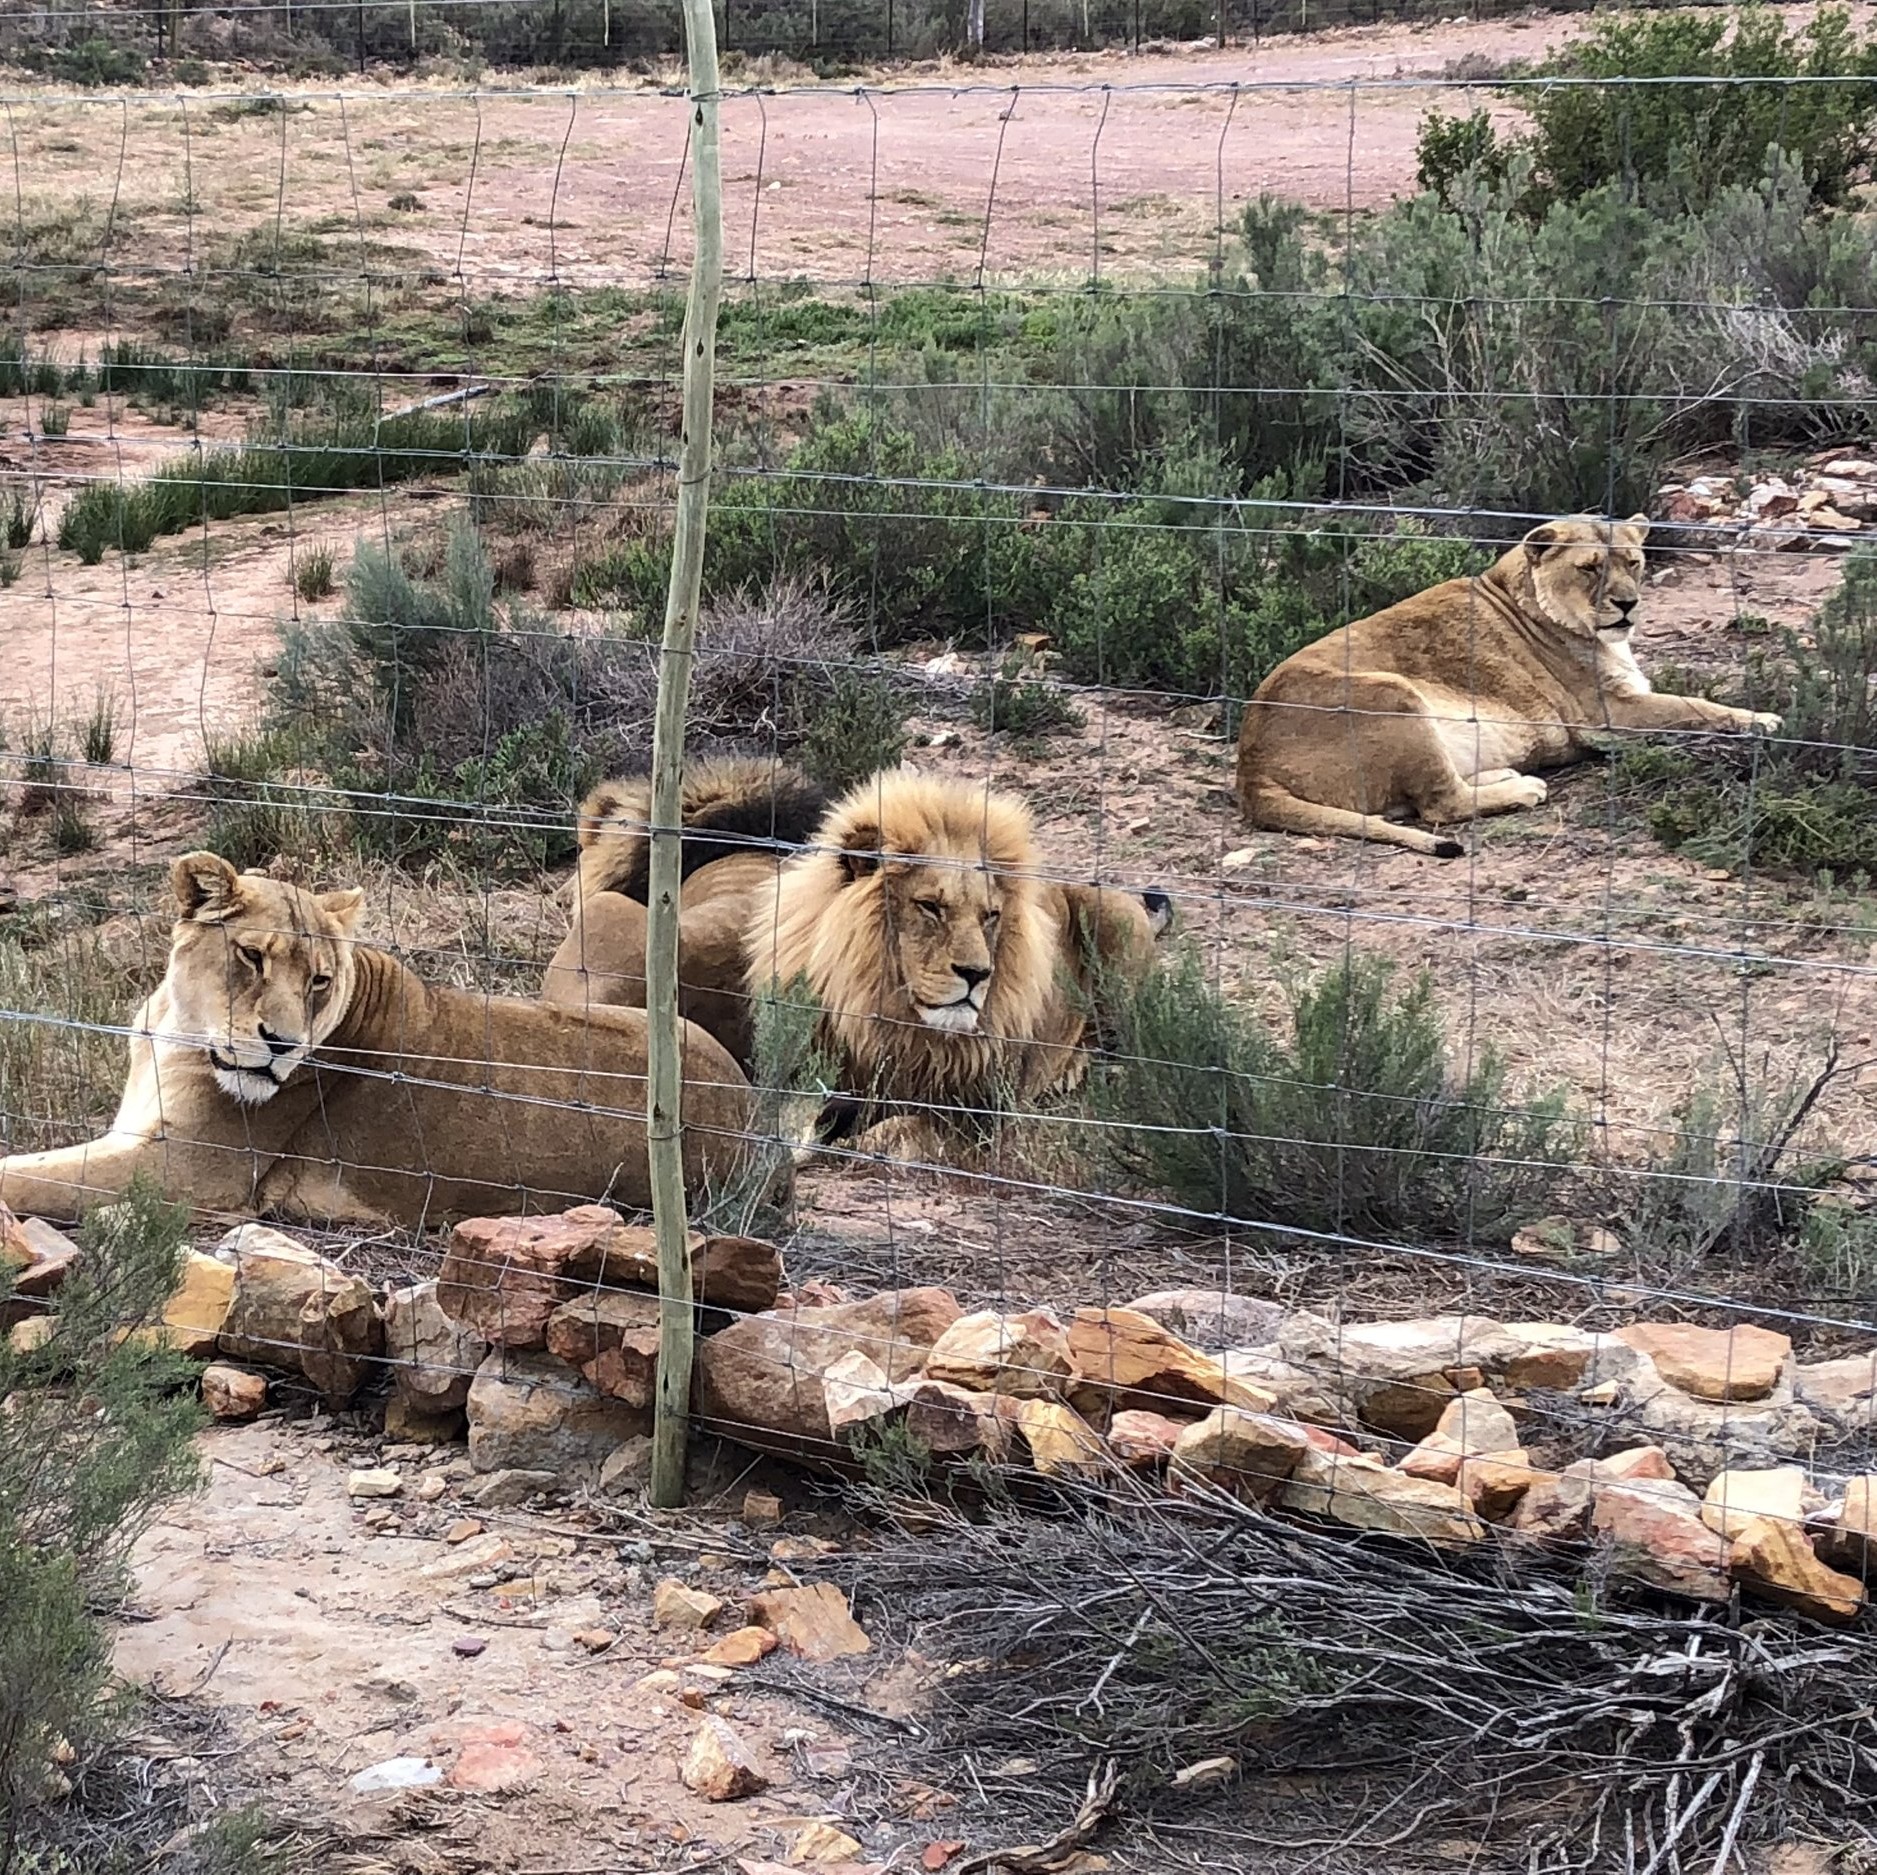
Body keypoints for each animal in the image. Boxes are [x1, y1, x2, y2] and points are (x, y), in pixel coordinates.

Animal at [0, 853, 753, 1227]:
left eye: (319, 980)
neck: (174, 1026)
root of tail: (751, 1116)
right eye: (251, 956)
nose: (281, 1045)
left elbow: (30, 1176)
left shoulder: (187, 1172)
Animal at [745, 771, 1173, 1155]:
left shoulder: (988, 1114)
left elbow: (911, 1126)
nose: (977, 973)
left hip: (1115, 924)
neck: (898, 1029)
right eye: (930, 906)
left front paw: (864, 1143)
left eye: (990, 915)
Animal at [1234, 515, 1782, 858]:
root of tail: (1250, 770)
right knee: (1441, 806)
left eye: (1634, 562)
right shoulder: (1607, 718)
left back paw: (1505, 774)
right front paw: (1764, 720)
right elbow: (1695, 705)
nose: (1628, 603)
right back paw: (1523, 789)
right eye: (1589, 568)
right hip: (1391, 692)